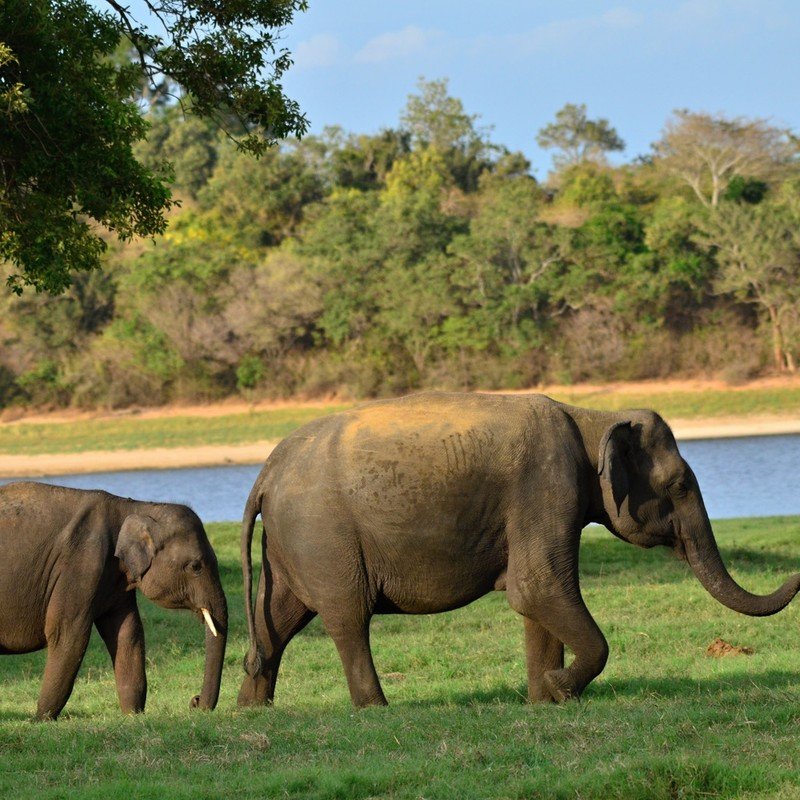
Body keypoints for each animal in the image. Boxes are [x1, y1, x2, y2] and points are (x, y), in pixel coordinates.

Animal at [0, 482, 227, 720]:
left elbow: (128, 632)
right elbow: (67, 633)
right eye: (195, 566)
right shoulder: (81, 565)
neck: (133, 507)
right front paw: (41, 719)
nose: (195, 701)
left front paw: (132, 715)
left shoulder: (117, 581)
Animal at [237, 391, 800, 708]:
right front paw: (560, 687)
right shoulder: (546, 485)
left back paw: (251, 709)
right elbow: (536, 588)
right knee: (348, 617)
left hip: (293, 544)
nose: (796, 576)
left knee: (278, 620)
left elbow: (535, 601)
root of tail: (264, 473)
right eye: (681, 485)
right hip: (323, 535)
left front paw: (543, 700)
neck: (592, 417)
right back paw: (376, 709)